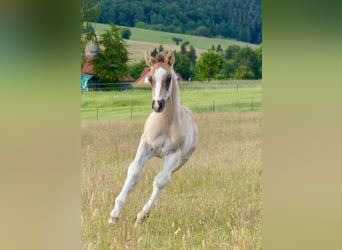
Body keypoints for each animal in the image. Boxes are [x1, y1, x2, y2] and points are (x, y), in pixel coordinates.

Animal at [109, 50, 199, 227]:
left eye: (169, 77)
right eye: (150, 78)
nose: (158, 105)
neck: (166, 123)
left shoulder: (174, 154)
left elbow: (160, 181)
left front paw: (142, 216)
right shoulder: (145, 146)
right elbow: (133, 172)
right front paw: (114, 215)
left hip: (180, 161)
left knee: (164, 179)